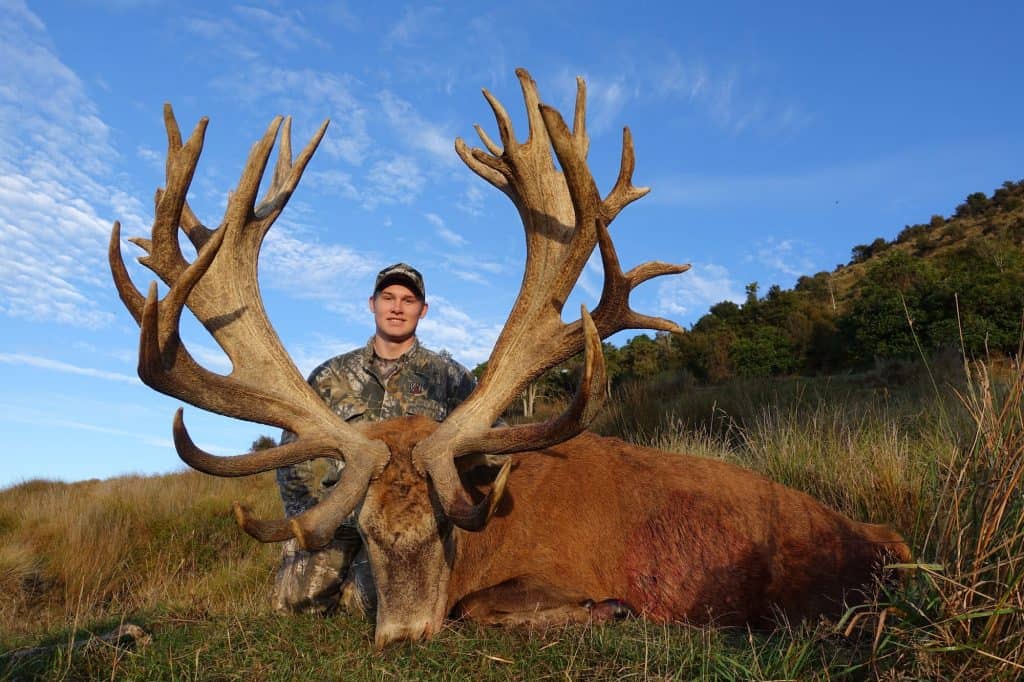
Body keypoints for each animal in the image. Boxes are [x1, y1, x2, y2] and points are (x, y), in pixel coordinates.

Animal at [109, 68, 911, 649]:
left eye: (443, 528)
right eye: (365, 534)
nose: (402, 636)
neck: (487, 532)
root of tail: (886, 538)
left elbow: (491, 608)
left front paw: (604, 611)